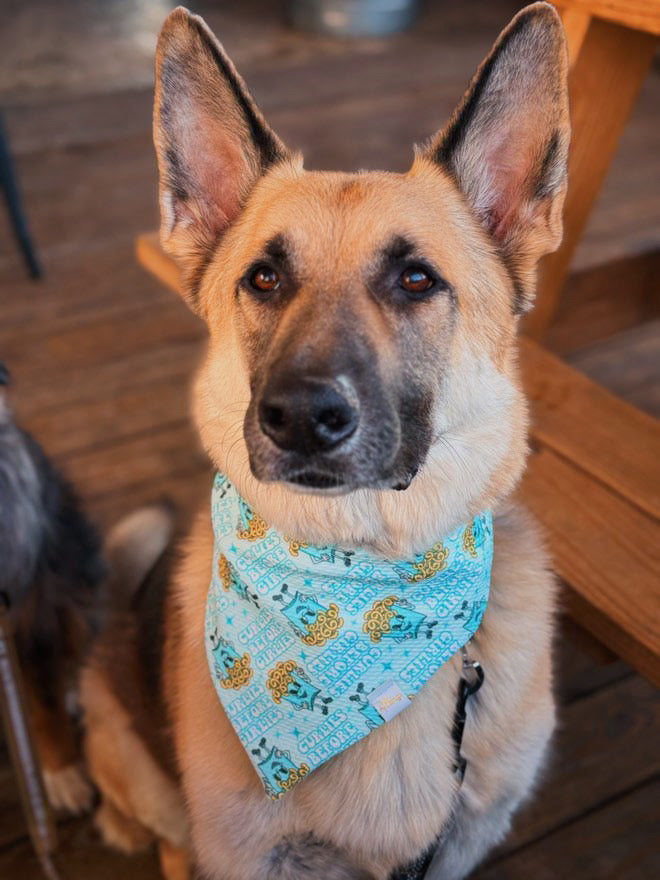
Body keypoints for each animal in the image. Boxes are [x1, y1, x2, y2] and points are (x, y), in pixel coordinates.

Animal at [80, 3, 568, 876]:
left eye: (416, 279)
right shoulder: (248, 854)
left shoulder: (464, 837)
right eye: (264, 278)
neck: (361, 583)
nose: (302, 416)